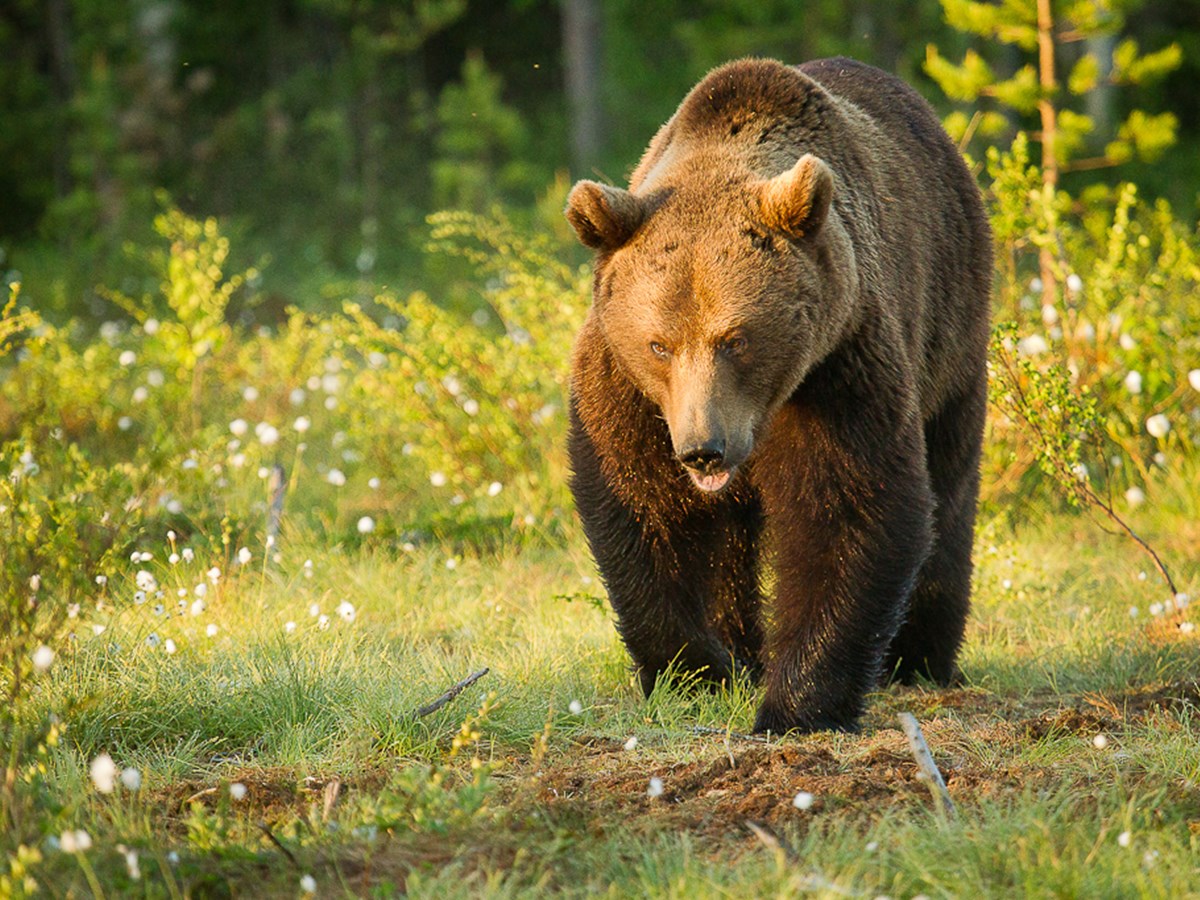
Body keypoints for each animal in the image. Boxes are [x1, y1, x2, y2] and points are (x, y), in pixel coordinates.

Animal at [561, 56, 993, 734]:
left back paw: (919, 656)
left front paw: (797, 705)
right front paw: (697, 672)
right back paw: (743, 650)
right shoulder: (627, 388)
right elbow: (643, 503)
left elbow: (845, 508)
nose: (703, 449)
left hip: (950, 330)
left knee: (948, 488)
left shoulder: (838, 367)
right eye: (659, 344)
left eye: (736, 338)